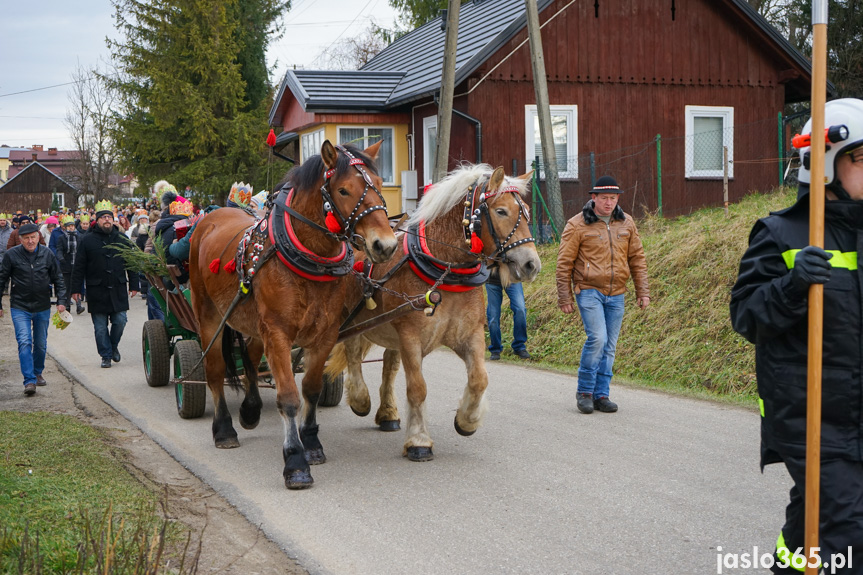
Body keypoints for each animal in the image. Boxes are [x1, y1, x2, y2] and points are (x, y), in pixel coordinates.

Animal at [189, 142, 398, 488]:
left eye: (380, 185)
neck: (309, 259)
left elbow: (311, 388)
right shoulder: (278, 334)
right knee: (215, 370)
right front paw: (295, 460)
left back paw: (250, 410)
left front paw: (311, 442)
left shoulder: (325, 334)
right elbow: (288, 396)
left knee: (251, 360)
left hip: (254, 324)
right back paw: (224, 429)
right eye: (343, 190)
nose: (386, 245)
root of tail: (212, 215)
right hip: (208, 316)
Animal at [328, 164, 544, 462]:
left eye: (526, 211)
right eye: (501, 211)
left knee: (389, 365)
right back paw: (360, 399)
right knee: (352, 354)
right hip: (351, 318)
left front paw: (467, 420)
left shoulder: (470, 335)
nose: (531, 264)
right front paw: (419, 440)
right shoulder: (410, 338)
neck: (445, 271)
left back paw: (388, 413)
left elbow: (479, 379)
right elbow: (417, 388)